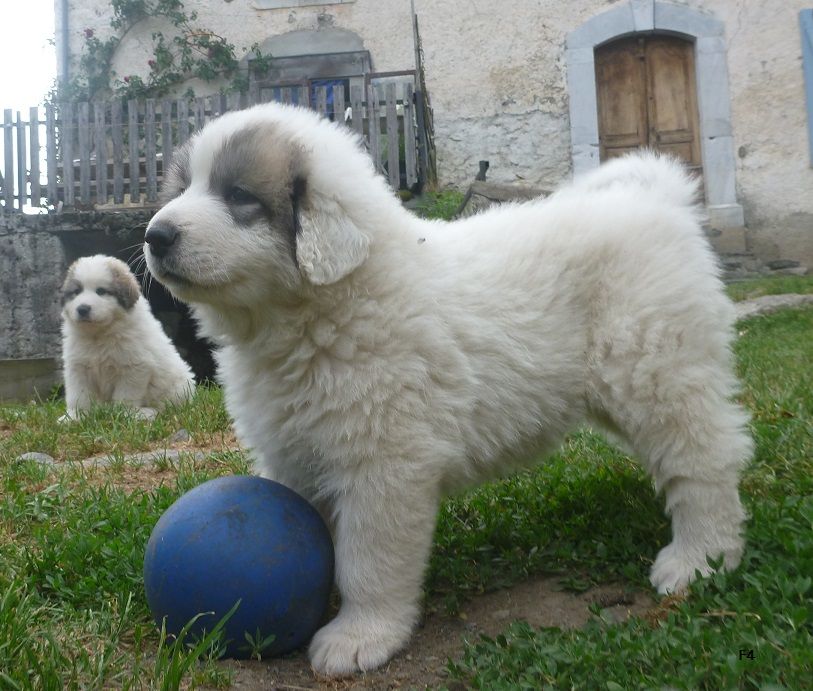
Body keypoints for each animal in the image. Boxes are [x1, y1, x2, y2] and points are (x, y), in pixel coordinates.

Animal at [60, 254, 195, 420]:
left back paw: (147, 413)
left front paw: (125, 415)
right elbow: (79, 395)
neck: (99, 335)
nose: (82, 309)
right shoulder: (78, 367)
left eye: (101, 291)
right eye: (77, 291)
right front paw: (75, 417)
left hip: (178, 388)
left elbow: (126, 395)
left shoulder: (134, 367)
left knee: (165, 407)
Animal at [143, 103, 752, 676]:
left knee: (702, 460)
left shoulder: (385, 464)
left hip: (654, 371)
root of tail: (657, 201)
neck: (311, 317)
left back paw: (700, 558)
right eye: (181, 189)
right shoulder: (292, 455)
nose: (155, 235)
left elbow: (369, 561)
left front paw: (360, 636)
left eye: (239, 195)